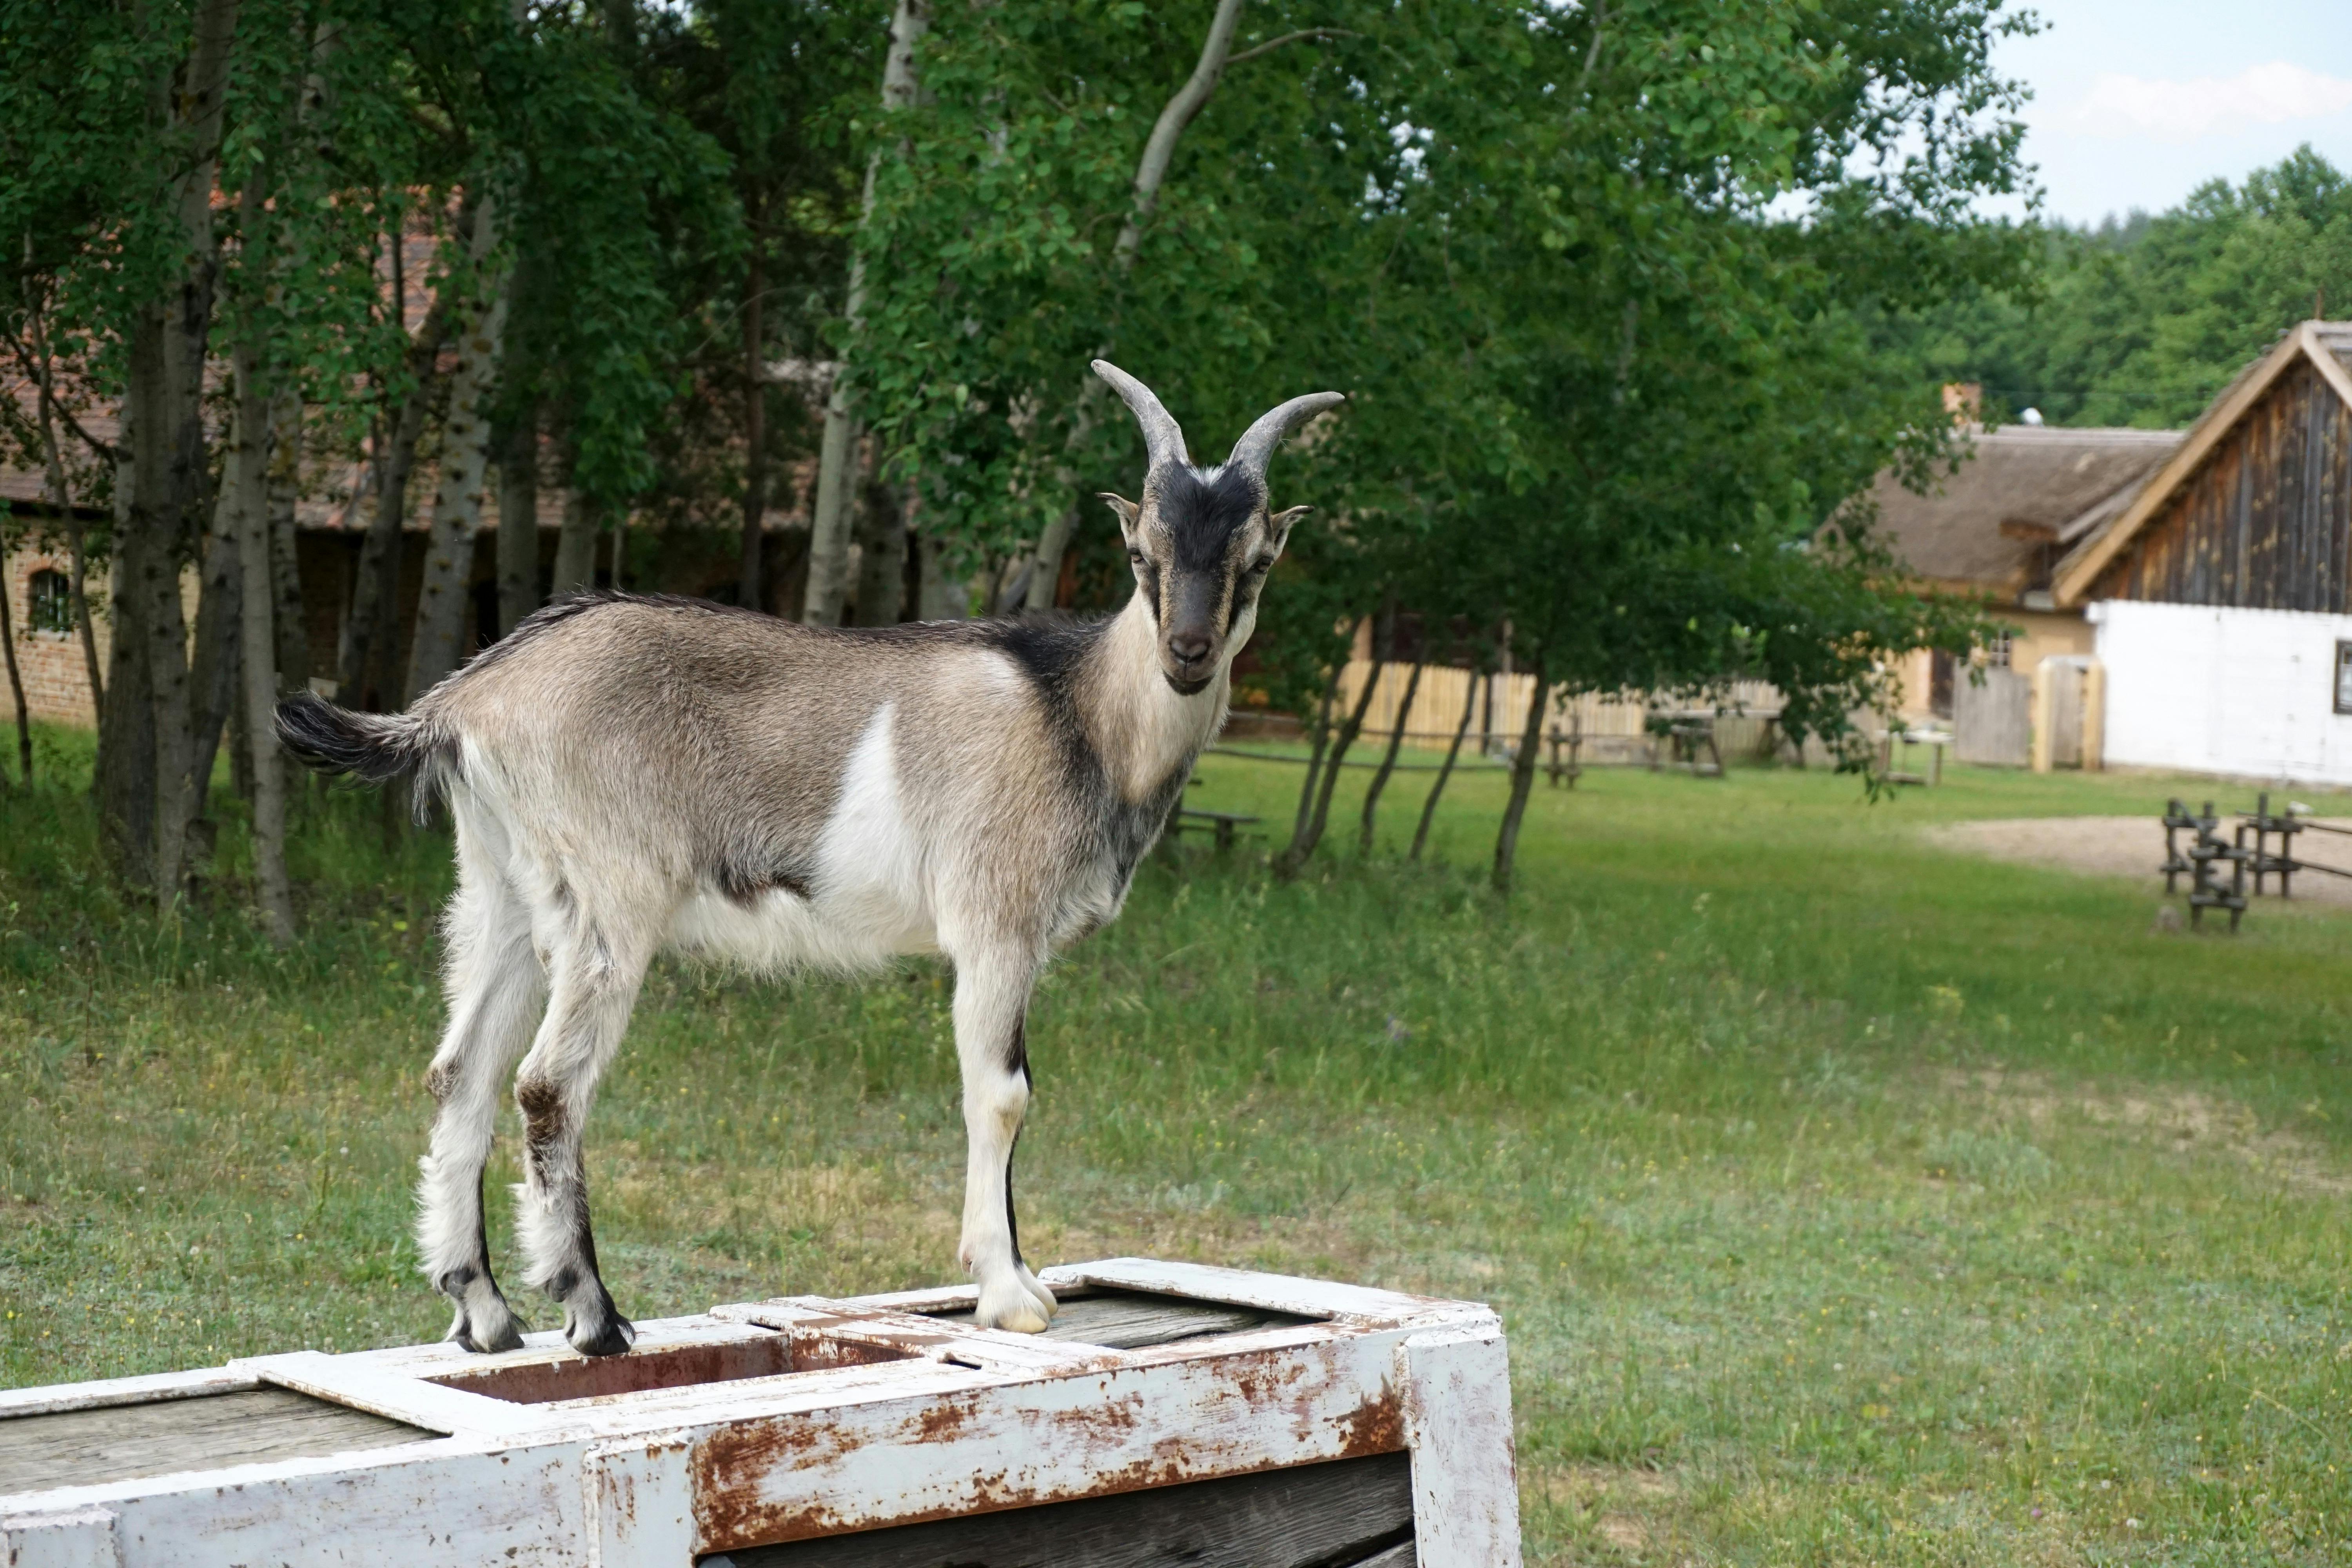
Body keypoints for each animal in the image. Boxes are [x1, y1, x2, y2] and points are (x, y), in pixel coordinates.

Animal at [275, 362, 1345, 1354]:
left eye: (1256, 559)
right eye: (1138, 552)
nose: (1189, 652)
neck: (1076, 712)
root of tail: (464, 702)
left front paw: (1026, 1276)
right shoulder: (993, 920)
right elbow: (1003, 1093)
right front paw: (1007, 1293)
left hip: (499, 887)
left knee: (460, 1070)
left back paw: (487, 1311)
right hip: (608, 896)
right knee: (547, 1084)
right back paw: (594, 1312)